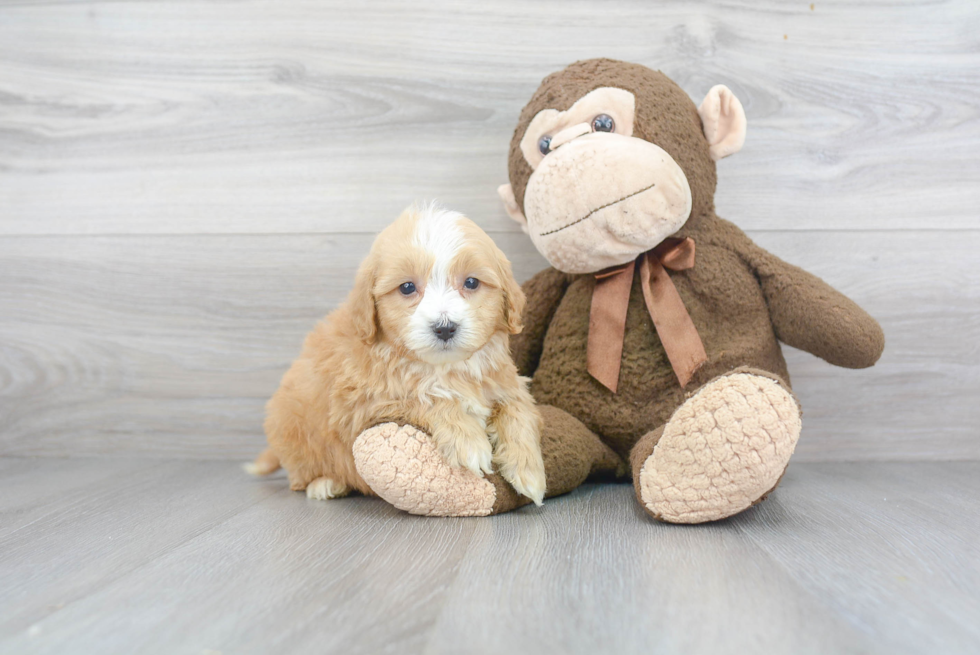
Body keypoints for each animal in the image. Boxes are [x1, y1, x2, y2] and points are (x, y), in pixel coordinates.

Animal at [249, 205, 548, 508]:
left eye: (472, 282)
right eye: (406, 287)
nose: (444, 327)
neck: (443, 368)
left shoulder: (505, 381)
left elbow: (517, 408)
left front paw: (528, 468)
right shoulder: (361, 402)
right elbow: (425, 397)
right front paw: (467, 441)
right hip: (293, 429)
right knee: (300, 474)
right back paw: (325, 483)